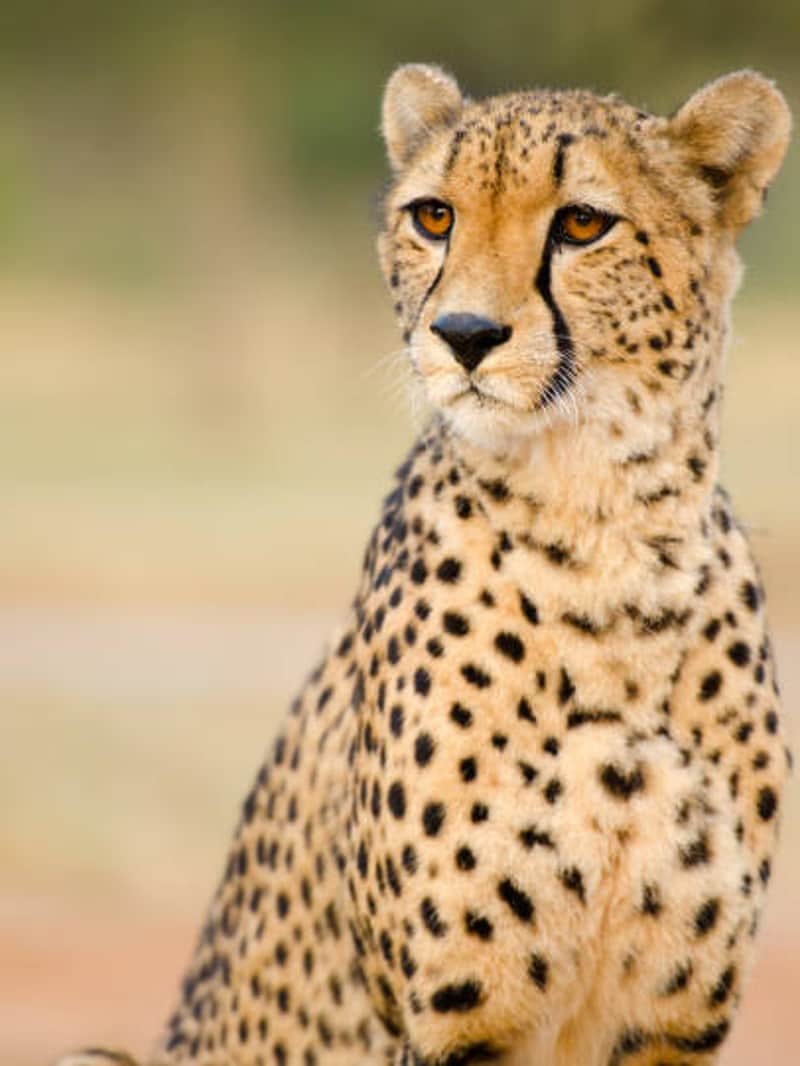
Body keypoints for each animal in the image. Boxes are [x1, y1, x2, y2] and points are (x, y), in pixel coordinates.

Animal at [56, 63, 792, 1066]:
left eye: (582, 223)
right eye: (434, 216)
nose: (465, 333)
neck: (602, 536)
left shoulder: (671, 1029)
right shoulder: (457, 1023)